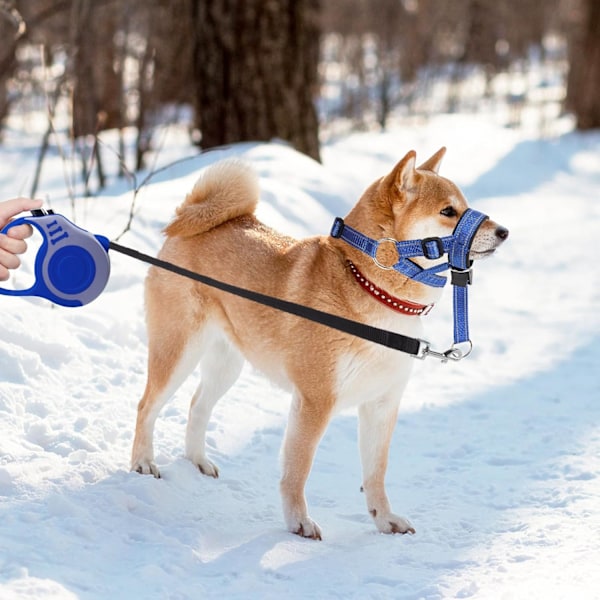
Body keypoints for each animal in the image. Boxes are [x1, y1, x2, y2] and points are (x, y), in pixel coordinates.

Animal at [130, 149, 506, 540]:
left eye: (464, 205)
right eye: (448, 211)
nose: (504, 232)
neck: (371, 288)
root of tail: (188, 222)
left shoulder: (382, 404)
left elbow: (376, 473)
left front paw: (384, 519)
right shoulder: (315, 401)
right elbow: (298, 469)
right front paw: (298, 522)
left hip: (226, 365)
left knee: (197, 406)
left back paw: (198, 461)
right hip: (178, 352)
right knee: (146, 406)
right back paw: (143, 462)